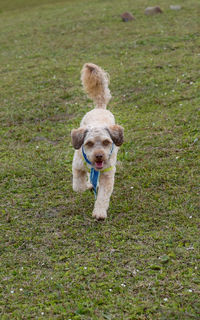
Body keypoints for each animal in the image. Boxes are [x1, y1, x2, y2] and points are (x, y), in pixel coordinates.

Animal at [70, 63, 123, 221]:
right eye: (89, 143)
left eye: (106, 142)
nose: (99, 156)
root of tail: (100, 107)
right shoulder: (77, 166)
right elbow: (78, 186)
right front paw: (87, 185)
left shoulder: (108, 175)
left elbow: (103, 196)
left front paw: (99, 212)